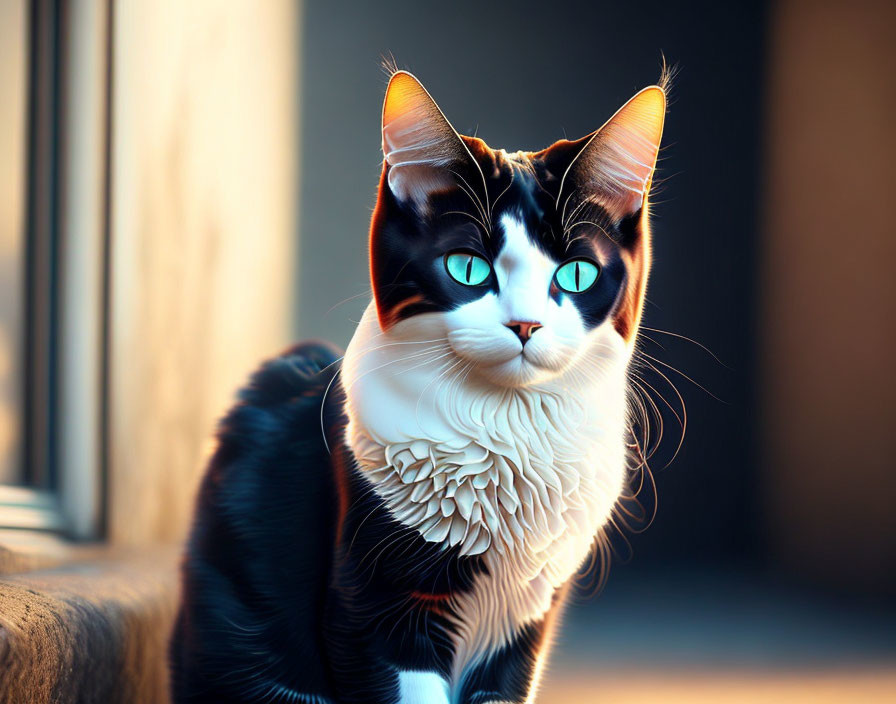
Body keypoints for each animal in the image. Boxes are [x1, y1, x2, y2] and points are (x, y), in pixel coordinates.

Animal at [173, 67, 664, 704]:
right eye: (468, 268)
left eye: (577, 274)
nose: (525, 325)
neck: (507, 429)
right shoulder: (374, 604)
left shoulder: (526, 624)